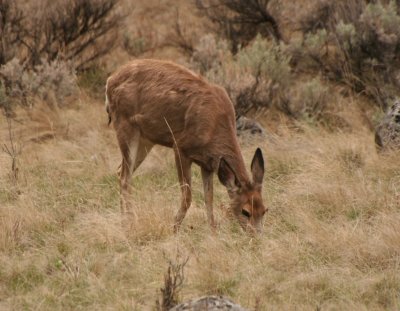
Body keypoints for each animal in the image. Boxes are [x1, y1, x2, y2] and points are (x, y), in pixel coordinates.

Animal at [104, 58, 268, 234]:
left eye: (264, 210)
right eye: (245, 211)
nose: (257, 235)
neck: (214, 127)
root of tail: (110, 81)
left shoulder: (208, 164)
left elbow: (208, 198)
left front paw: (212, 232)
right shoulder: (180, 147)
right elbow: (188, 196)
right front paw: (174, 229)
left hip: (146, 140)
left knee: (120, 171)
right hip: (125, 127)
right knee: (125, 177)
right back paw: (128, 223)